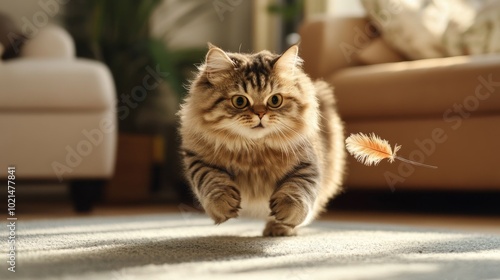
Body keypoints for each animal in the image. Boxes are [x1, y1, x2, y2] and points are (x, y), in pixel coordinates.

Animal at [178, 43, 346, 236]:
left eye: (275, 100)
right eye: (240, 101)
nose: (260, 114)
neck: (254, 150)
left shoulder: (307, 162)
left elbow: (297, 189)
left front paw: (286, 213)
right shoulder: (197, 159)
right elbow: (212, 182)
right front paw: (222, 205)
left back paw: (278, 228)